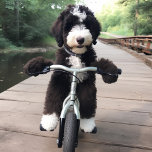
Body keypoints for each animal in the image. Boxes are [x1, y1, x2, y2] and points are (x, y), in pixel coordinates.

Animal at [23, 4, 120, 133]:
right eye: (69, 26)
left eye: (87, 24)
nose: (80, 39)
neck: (76, 55)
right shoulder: (58, 76)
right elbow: (52, 98)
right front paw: (48, 122)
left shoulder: (87, 81)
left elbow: (88, 102)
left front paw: (88, 124)